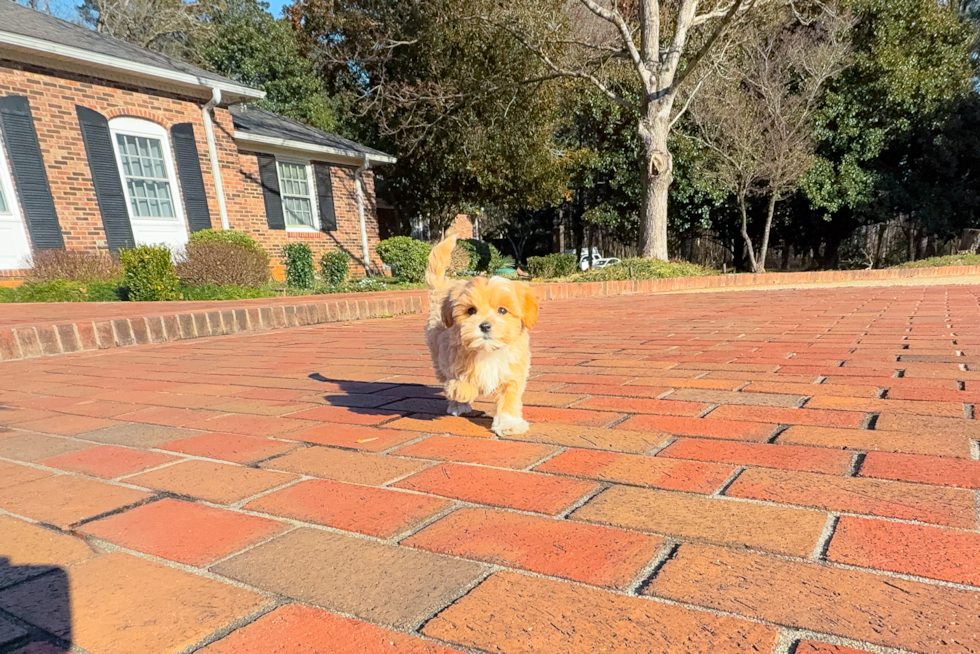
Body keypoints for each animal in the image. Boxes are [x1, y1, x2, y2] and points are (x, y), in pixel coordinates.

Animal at [424, 233, 540, 438]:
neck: (488, 351)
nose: (485, 325)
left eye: (502, 310)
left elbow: (509, 399)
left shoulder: (512, 372)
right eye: (471, 311)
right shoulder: (450, 360)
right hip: (437, 354)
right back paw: (458, 404)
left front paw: (508, 423)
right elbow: (460, 381)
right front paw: (462, 392)